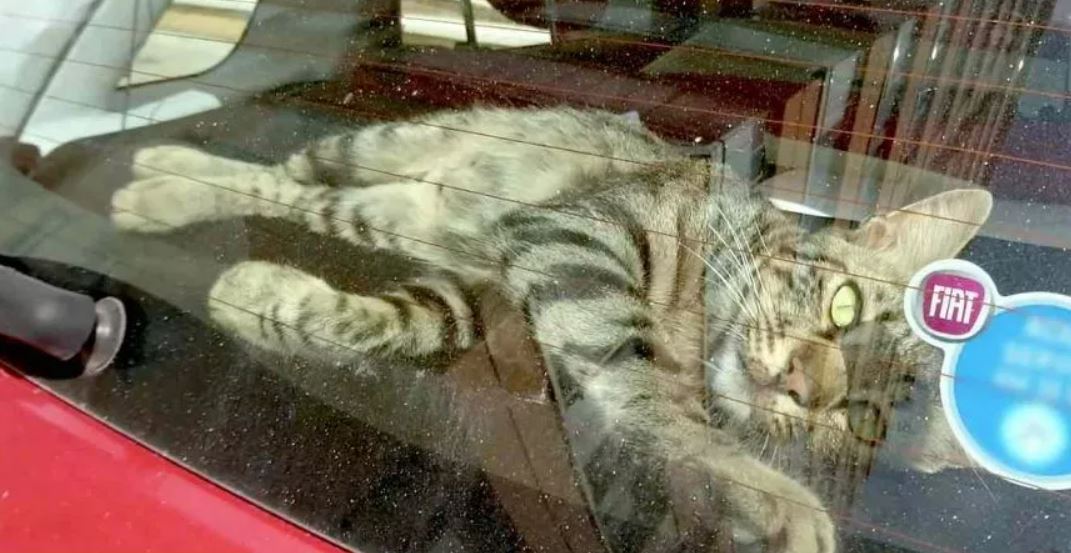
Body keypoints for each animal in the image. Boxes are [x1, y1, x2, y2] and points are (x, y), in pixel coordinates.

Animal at [108, 105, 985, 553]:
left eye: (858, 421)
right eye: (843, 307)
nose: (808, 387)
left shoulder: (487, 290)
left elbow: (391, 323)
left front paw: (264, 297)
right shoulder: (577, 239)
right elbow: (651, 398)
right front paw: (771, 496)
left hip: (397, 211)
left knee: (311, 201)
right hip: (376, 144)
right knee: (283, 179)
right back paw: (162, 178)